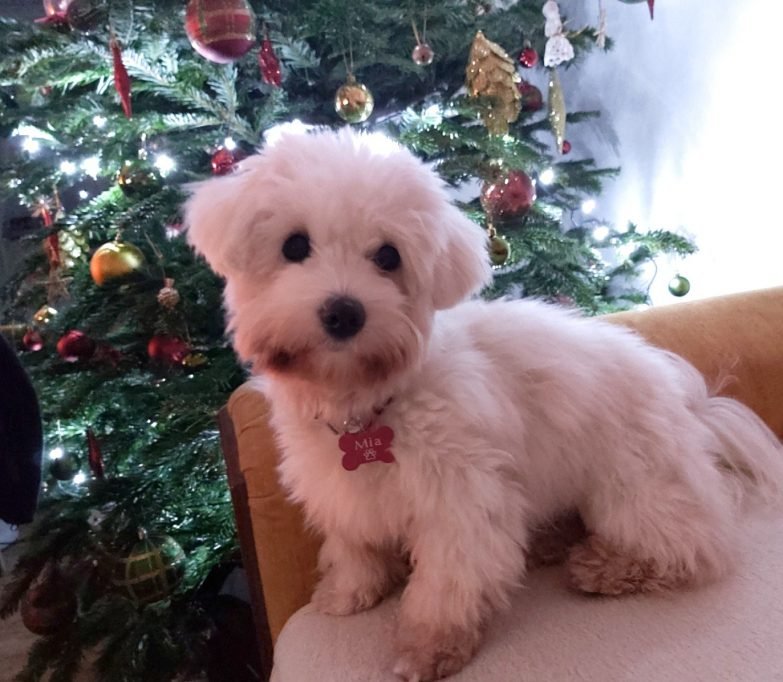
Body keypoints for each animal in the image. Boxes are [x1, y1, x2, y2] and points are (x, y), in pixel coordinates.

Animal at [185, 129, 783, 681]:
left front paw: (428, 648)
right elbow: (354, 547)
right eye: (293, 246)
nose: (343, 312)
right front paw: (349, 591)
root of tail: (694, 410)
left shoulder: (460, 501)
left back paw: (606, 565)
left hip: (631, 494)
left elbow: (445, 586)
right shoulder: (341, 491)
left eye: (388, 256)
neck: (366, 404)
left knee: (694, 546)